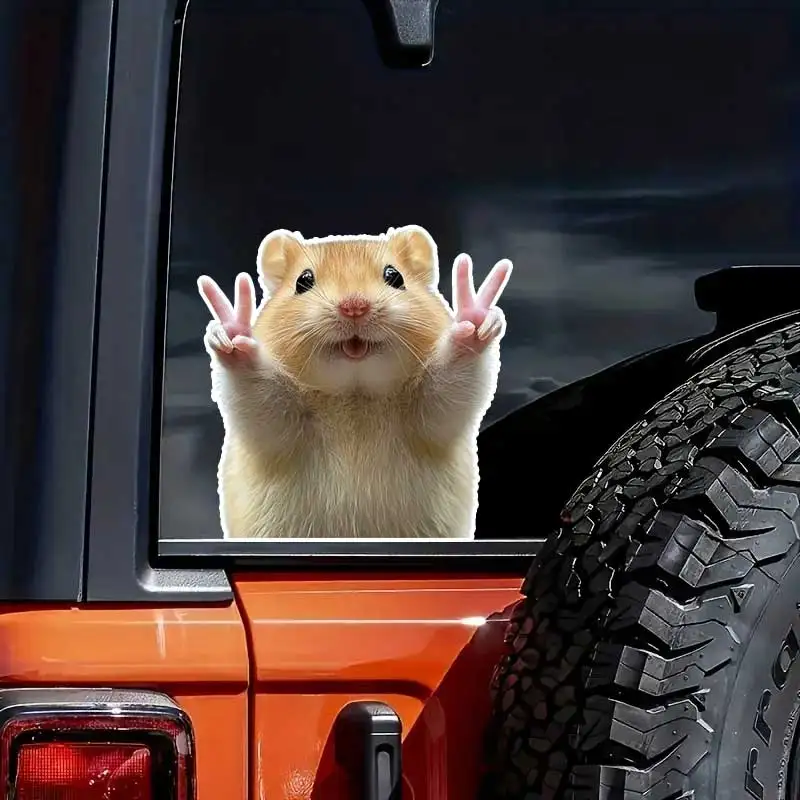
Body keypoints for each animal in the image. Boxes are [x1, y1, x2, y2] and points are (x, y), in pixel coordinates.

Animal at [197, 225, 512, 539]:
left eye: (394, 276)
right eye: (303, 281)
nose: (354, 307)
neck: (354, 393)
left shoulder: (432, 414)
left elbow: (452, 380)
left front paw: (475, 321)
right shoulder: (274, 425)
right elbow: (256, 393)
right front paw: (231, 334)